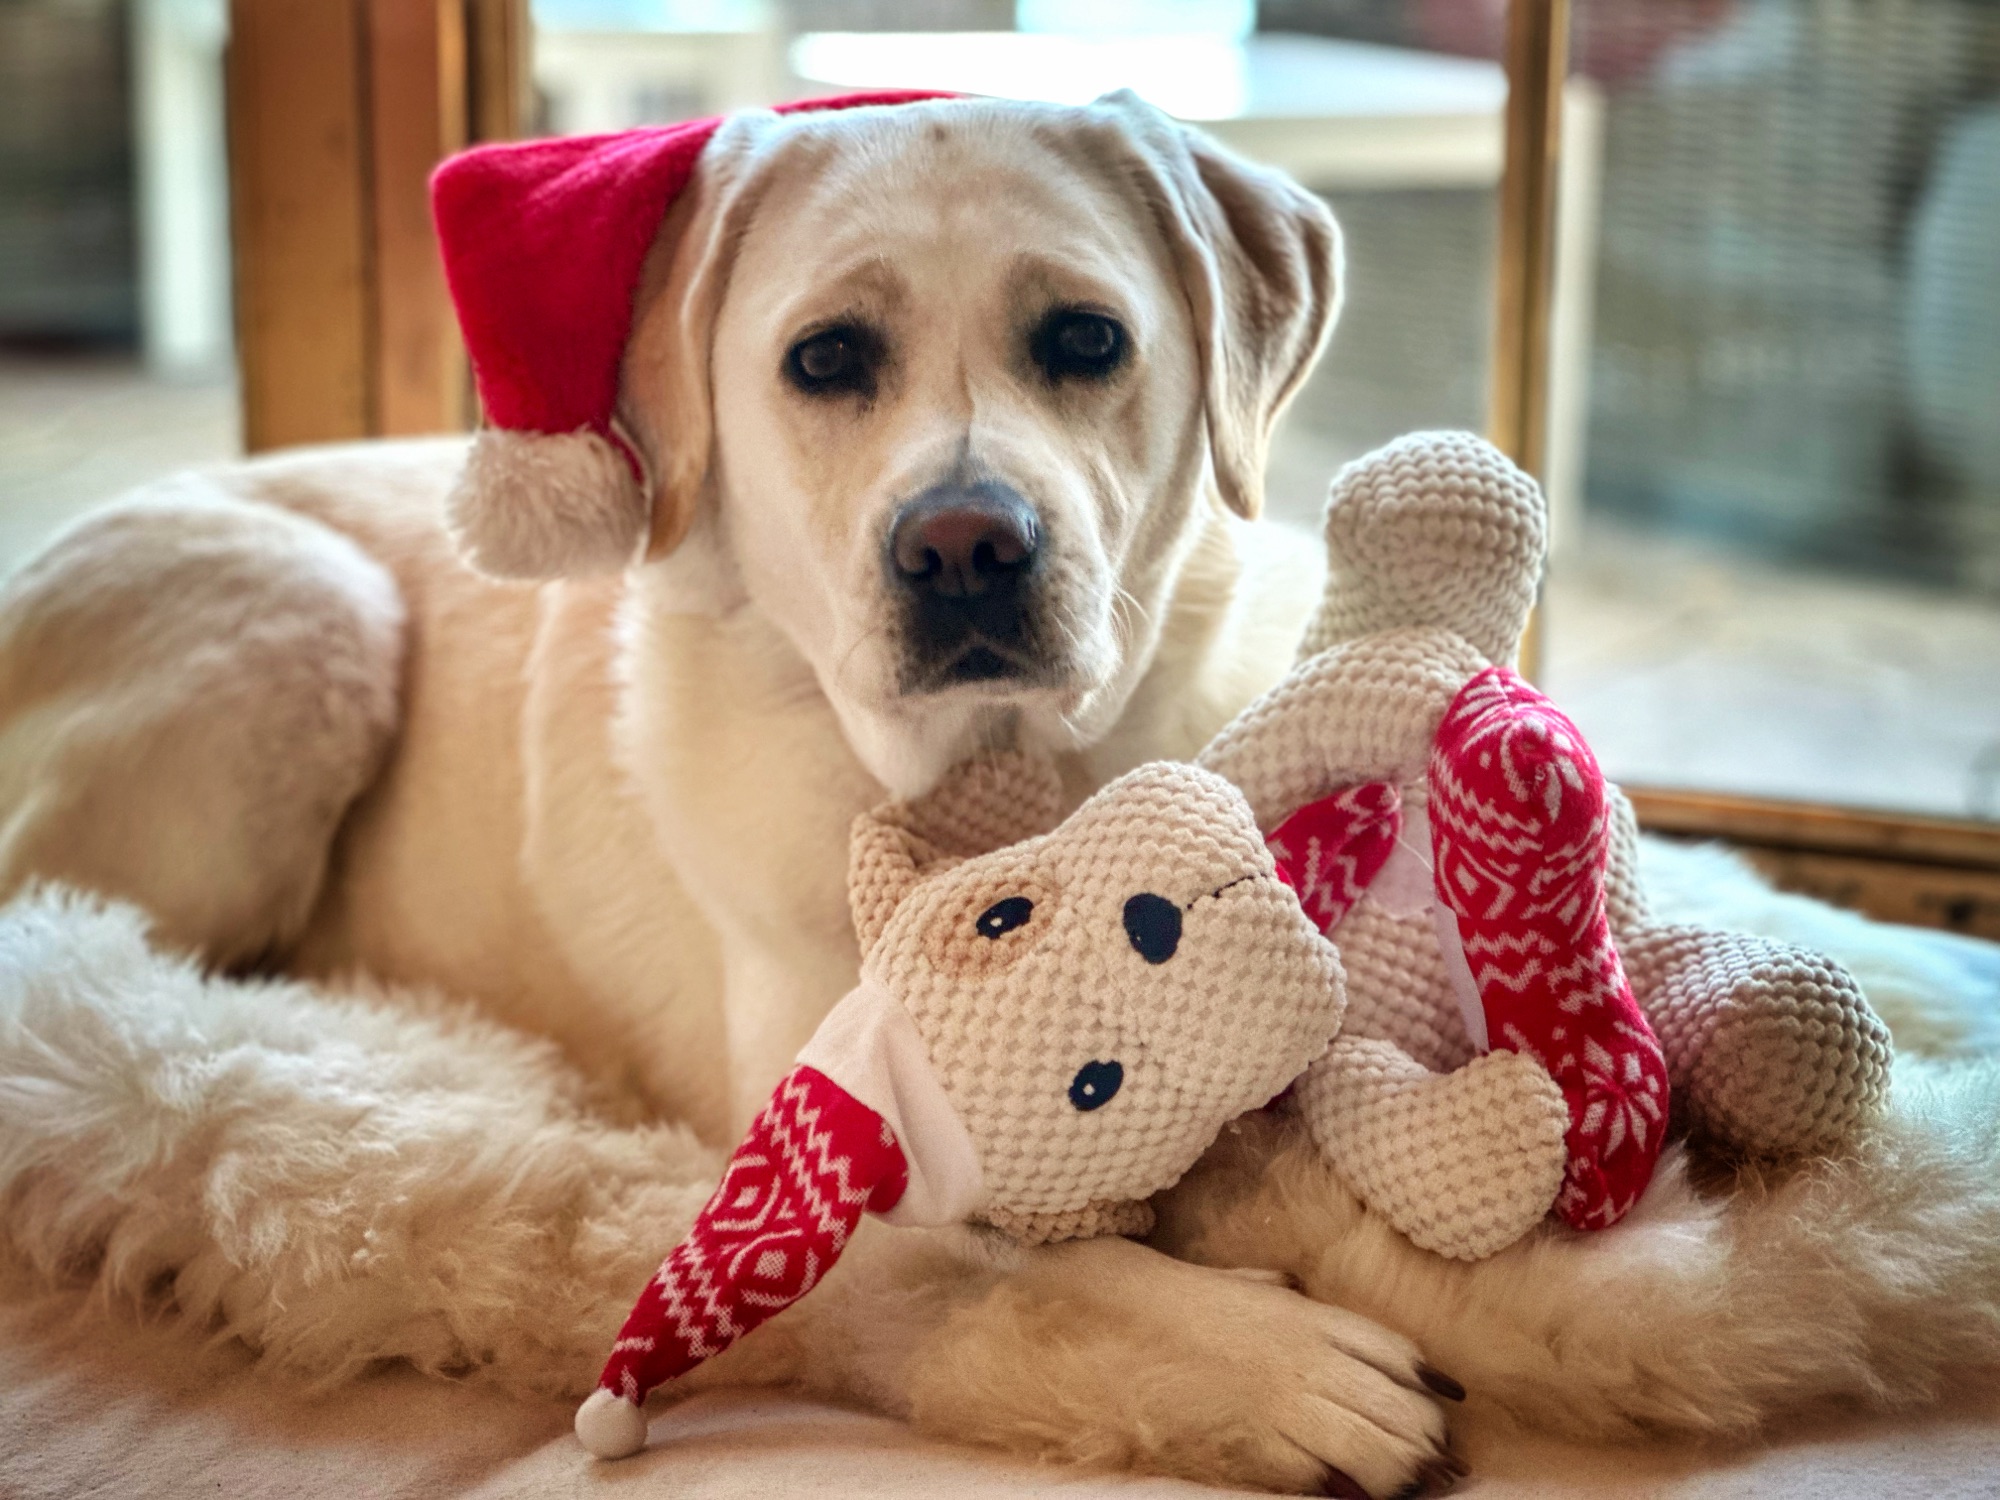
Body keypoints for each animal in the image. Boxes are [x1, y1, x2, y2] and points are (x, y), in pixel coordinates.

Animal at [0, 97, 1472, 1500]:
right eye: (825, 359)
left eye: (1085, 339)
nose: (966, 547)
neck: (996, 780)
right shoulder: (826, 1124)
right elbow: (1021, 1265)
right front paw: (1264, 1363)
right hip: (310, 616)